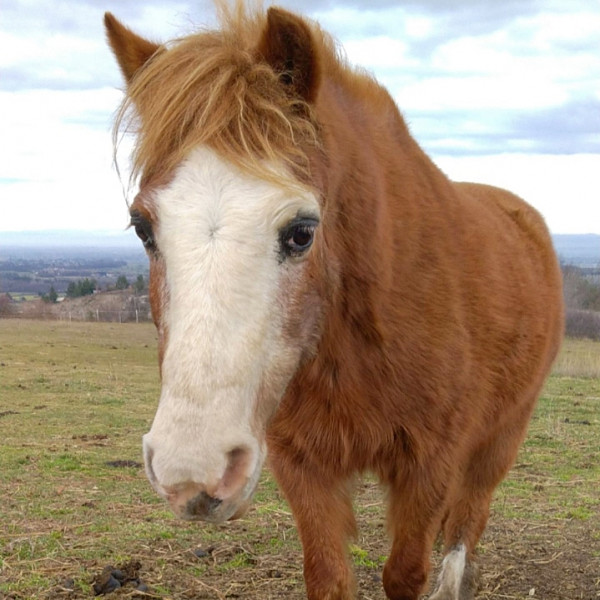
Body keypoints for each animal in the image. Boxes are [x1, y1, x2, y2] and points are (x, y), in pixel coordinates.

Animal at [104, 5, 568, 600]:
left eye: (302, 231)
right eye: (143, 227)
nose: (194, 470)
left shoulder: (430, 468)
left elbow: (407, 572)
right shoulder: (304, 466)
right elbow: (327, 575)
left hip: (500, 439)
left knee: (466, 527)